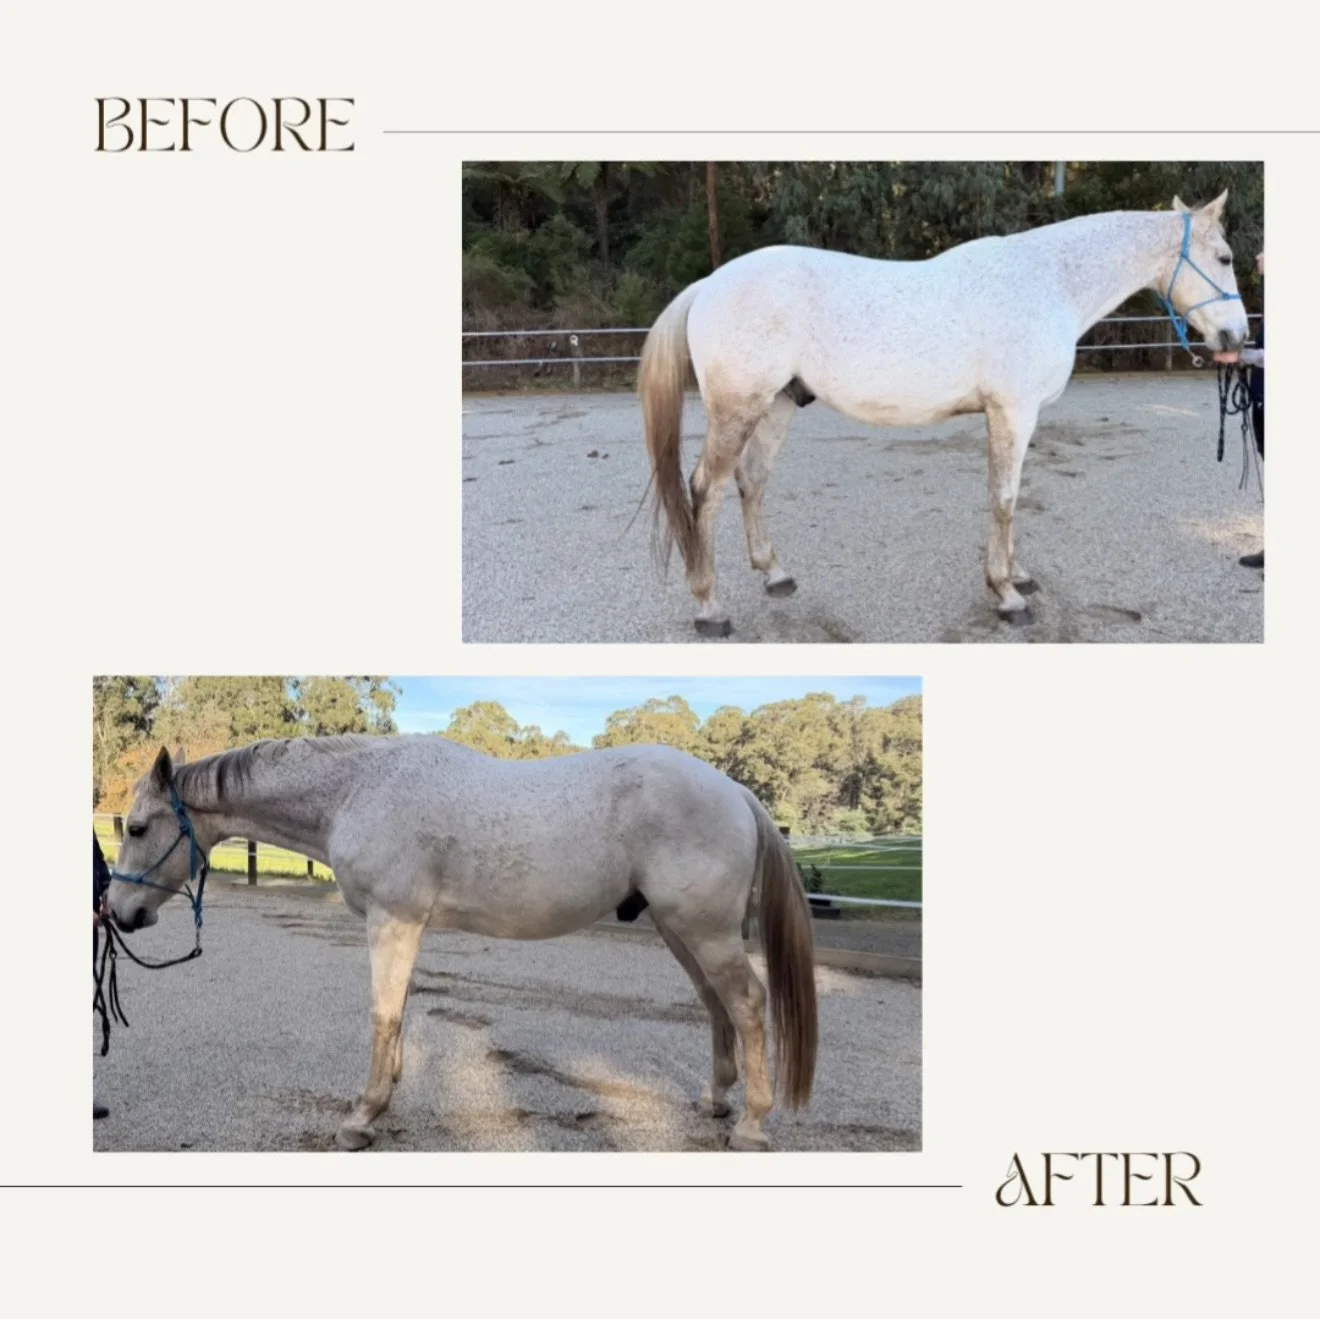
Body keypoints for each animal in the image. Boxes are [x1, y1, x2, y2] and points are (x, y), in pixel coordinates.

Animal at [105, 736, 818, 1152]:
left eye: (137, 828)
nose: (118, 913)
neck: (358, 790)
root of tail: (735, 792)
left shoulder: (391, 920)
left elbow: (383, 1013)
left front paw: (361, 1118)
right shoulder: (404, 926)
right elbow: (399, 1012)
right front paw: (384, 1095)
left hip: (704, 930)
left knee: (747, 1004)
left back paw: (752, 1124)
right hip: (682, 930)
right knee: (716, 1005)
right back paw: (716, 1101)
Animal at [640, 192, 1250, 636]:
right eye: (1224, 259)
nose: (1237, 338)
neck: (1047, 282)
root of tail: (710, 284)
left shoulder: (1008, 415)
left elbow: (1009, 497)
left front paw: (1018, 577)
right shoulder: (1013, 411)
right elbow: (1003, 498)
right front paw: (1007, 595)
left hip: (779, 406)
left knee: (753, 480)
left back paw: (776, 576)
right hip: (737, 411)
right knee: (706, 490)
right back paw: (710, 608)